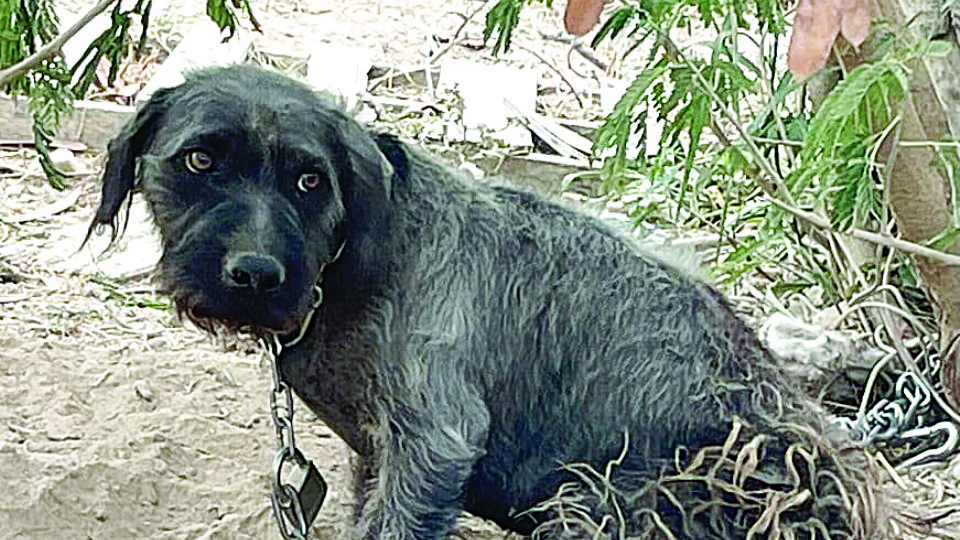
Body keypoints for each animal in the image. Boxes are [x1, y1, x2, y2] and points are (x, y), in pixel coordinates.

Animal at [88, 65, 876, 536]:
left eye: (310, 180)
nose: (254, 274)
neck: (358, 258)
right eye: (200, 159)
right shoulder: (379, 457)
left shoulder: (433, 444)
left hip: (603, 502)